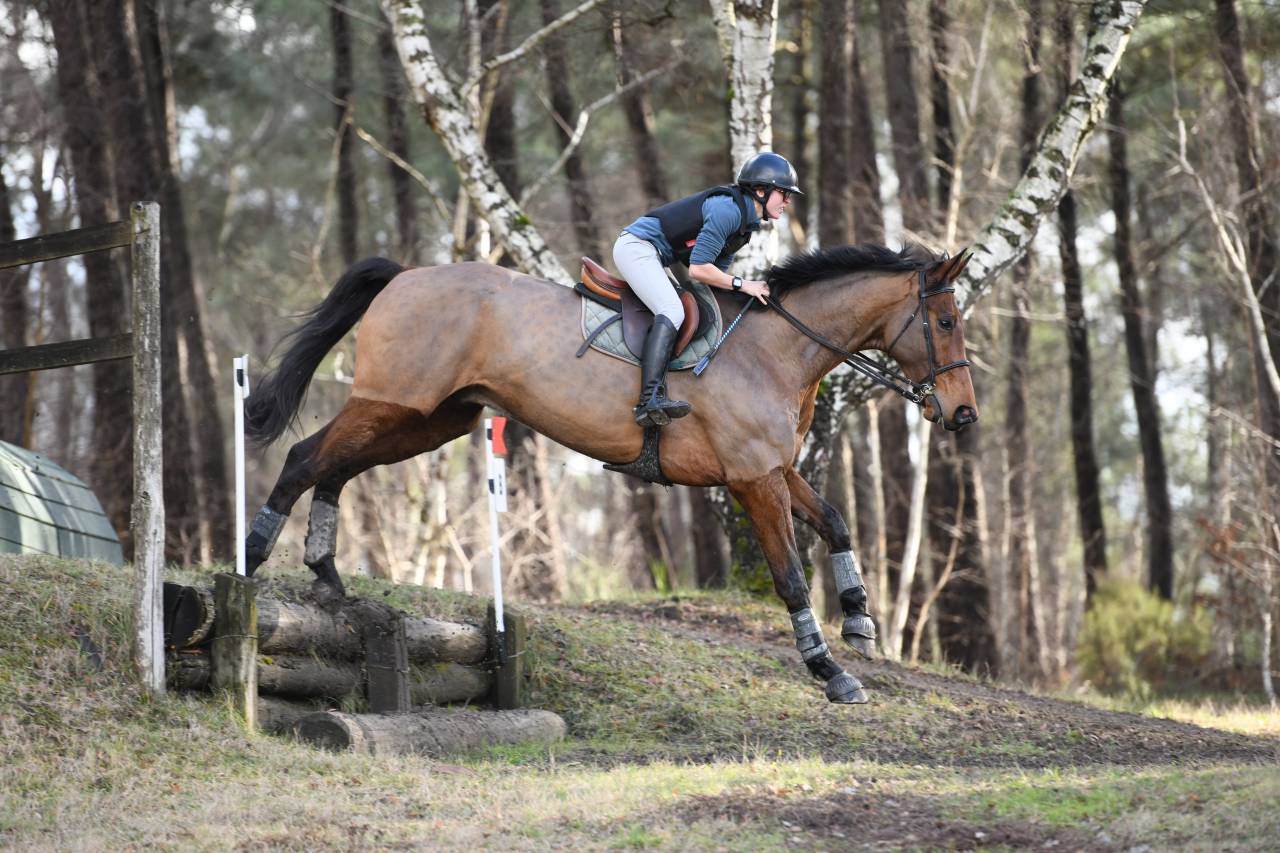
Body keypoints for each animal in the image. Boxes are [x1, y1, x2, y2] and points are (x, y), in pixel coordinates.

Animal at [242, 243, 979, 704]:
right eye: (945, 321)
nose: (964, 413)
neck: (781, 349)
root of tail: (404, 275)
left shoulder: (772, 469)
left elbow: (835, 521)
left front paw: (858, 620)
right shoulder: (753, 481)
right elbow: (791, 576)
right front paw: (829, 670)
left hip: (429, 419)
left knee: (336, 466)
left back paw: (327, 575)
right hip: (395, 404)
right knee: (305, 458)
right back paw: (254, 557)